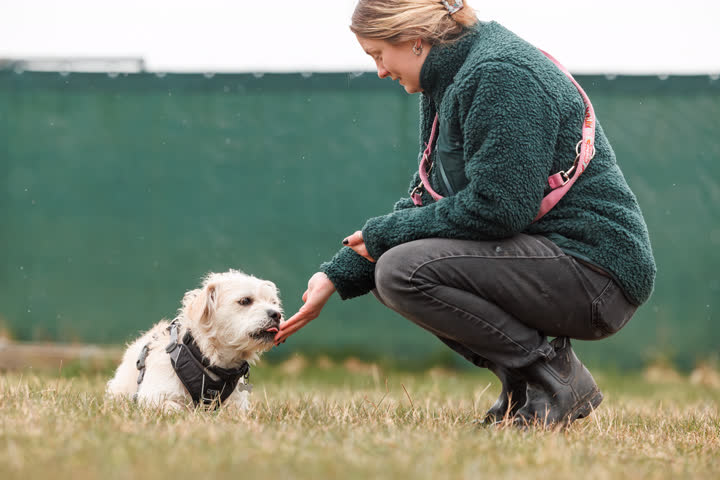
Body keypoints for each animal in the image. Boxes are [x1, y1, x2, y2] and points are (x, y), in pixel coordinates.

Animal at [106, 269, 282, 411]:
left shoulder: (236, 406)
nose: (277, 314)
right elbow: (174, 407)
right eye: (245, 301)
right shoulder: (152, 397)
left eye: (273, 302)